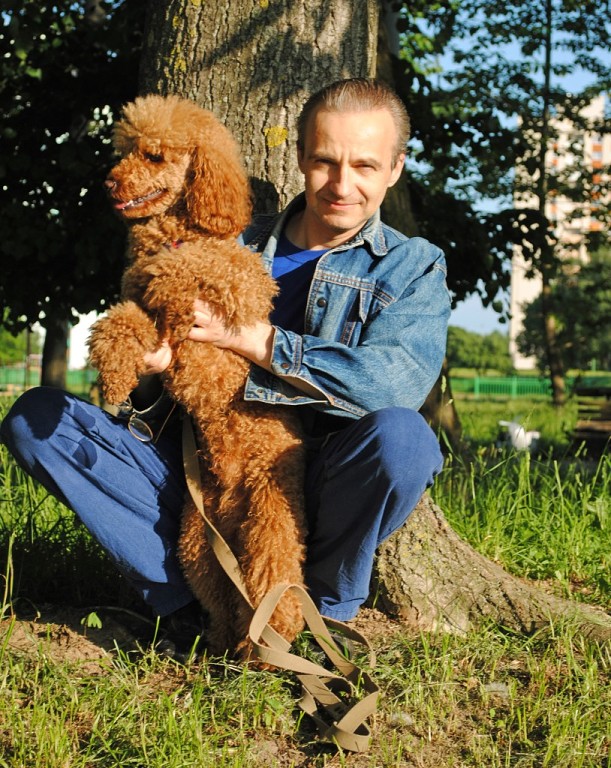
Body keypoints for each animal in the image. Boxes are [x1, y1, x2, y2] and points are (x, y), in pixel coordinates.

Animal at [88, 94, 306, 661]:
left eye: (155, 155)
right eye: (123, 150)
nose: (109, 184)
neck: (178, 229)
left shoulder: (245, 287)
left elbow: (195, 265)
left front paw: (171, 273)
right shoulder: (142, 316)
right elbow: (120, 322)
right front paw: (113, 378)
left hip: (271, 512)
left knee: (275, 580)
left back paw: (269, 647)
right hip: (194, 536)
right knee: (223, 595)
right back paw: (225, 643)